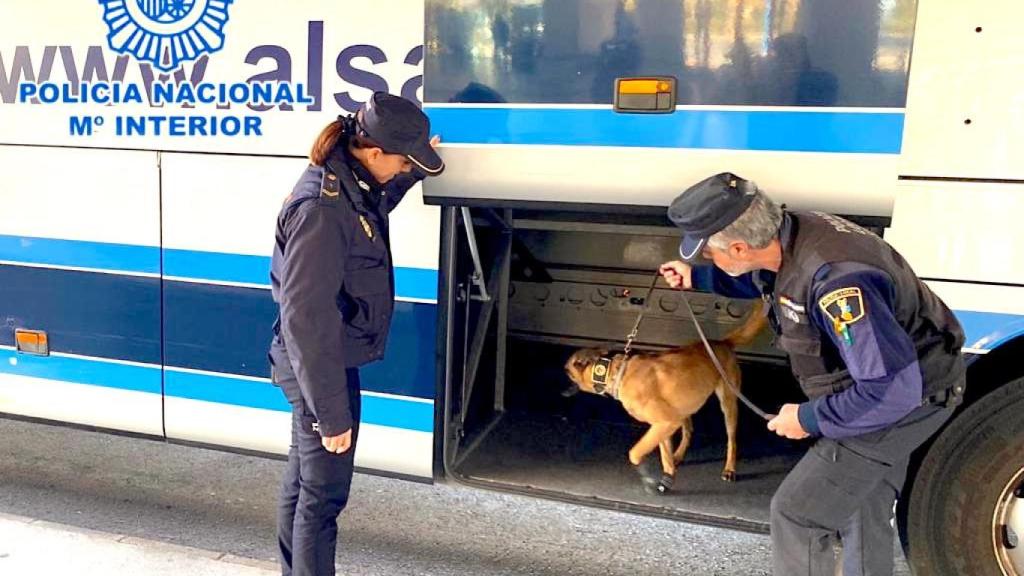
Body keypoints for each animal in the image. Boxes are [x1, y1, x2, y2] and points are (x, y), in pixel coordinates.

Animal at [565, 301, 765, 483]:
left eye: (567, 372)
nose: (561, 392)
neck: (615, 372)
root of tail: (723, 343)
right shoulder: (663, 425)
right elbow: (664, 455)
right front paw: (668, 476)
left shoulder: (666, 422)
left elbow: (635, 452)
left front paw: (645, 471)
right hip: (685, 406)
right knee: (688, 431)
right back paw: (679, 455)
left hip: (728, 403)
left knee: (731, 440)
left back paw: (730, 468)